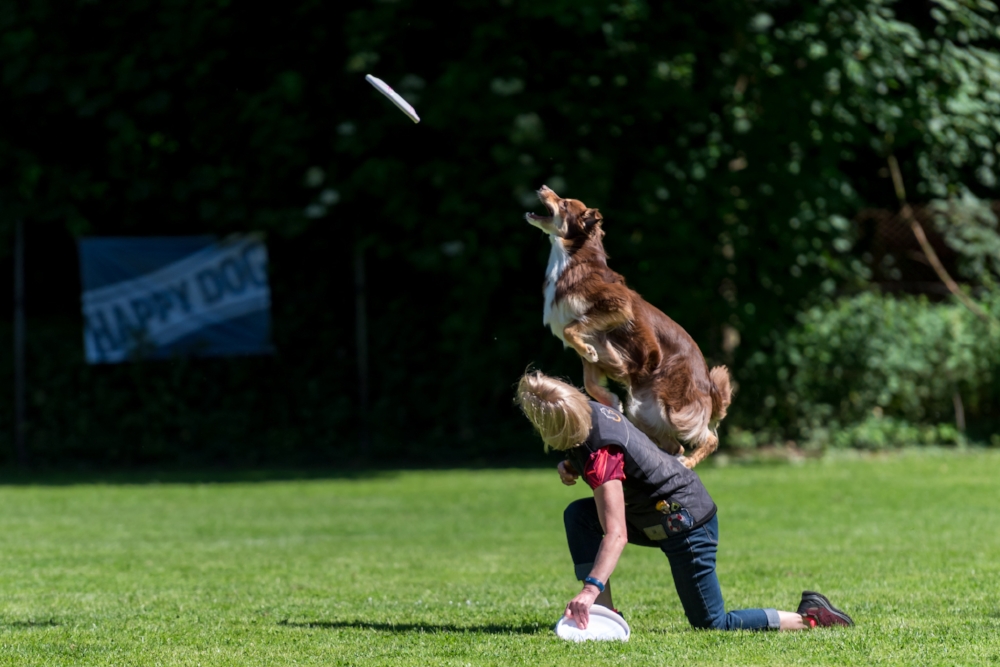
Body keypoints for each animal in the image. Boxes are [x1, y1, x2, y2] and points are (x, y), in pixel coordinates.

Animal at [528, 185, 732, 468]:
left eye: (565, 202)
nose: (543, 187)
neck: (570, 260)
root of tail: (708, 383)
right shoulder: (594, 362)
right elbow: (590, 381)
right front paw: (610, 402)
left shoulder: (617, 305)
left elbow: (573, 328)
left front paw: (589, 350)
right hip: (643, 409)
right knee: (675, 444)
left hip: (673, 407)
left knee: (708, 437)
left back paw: (688, 463)